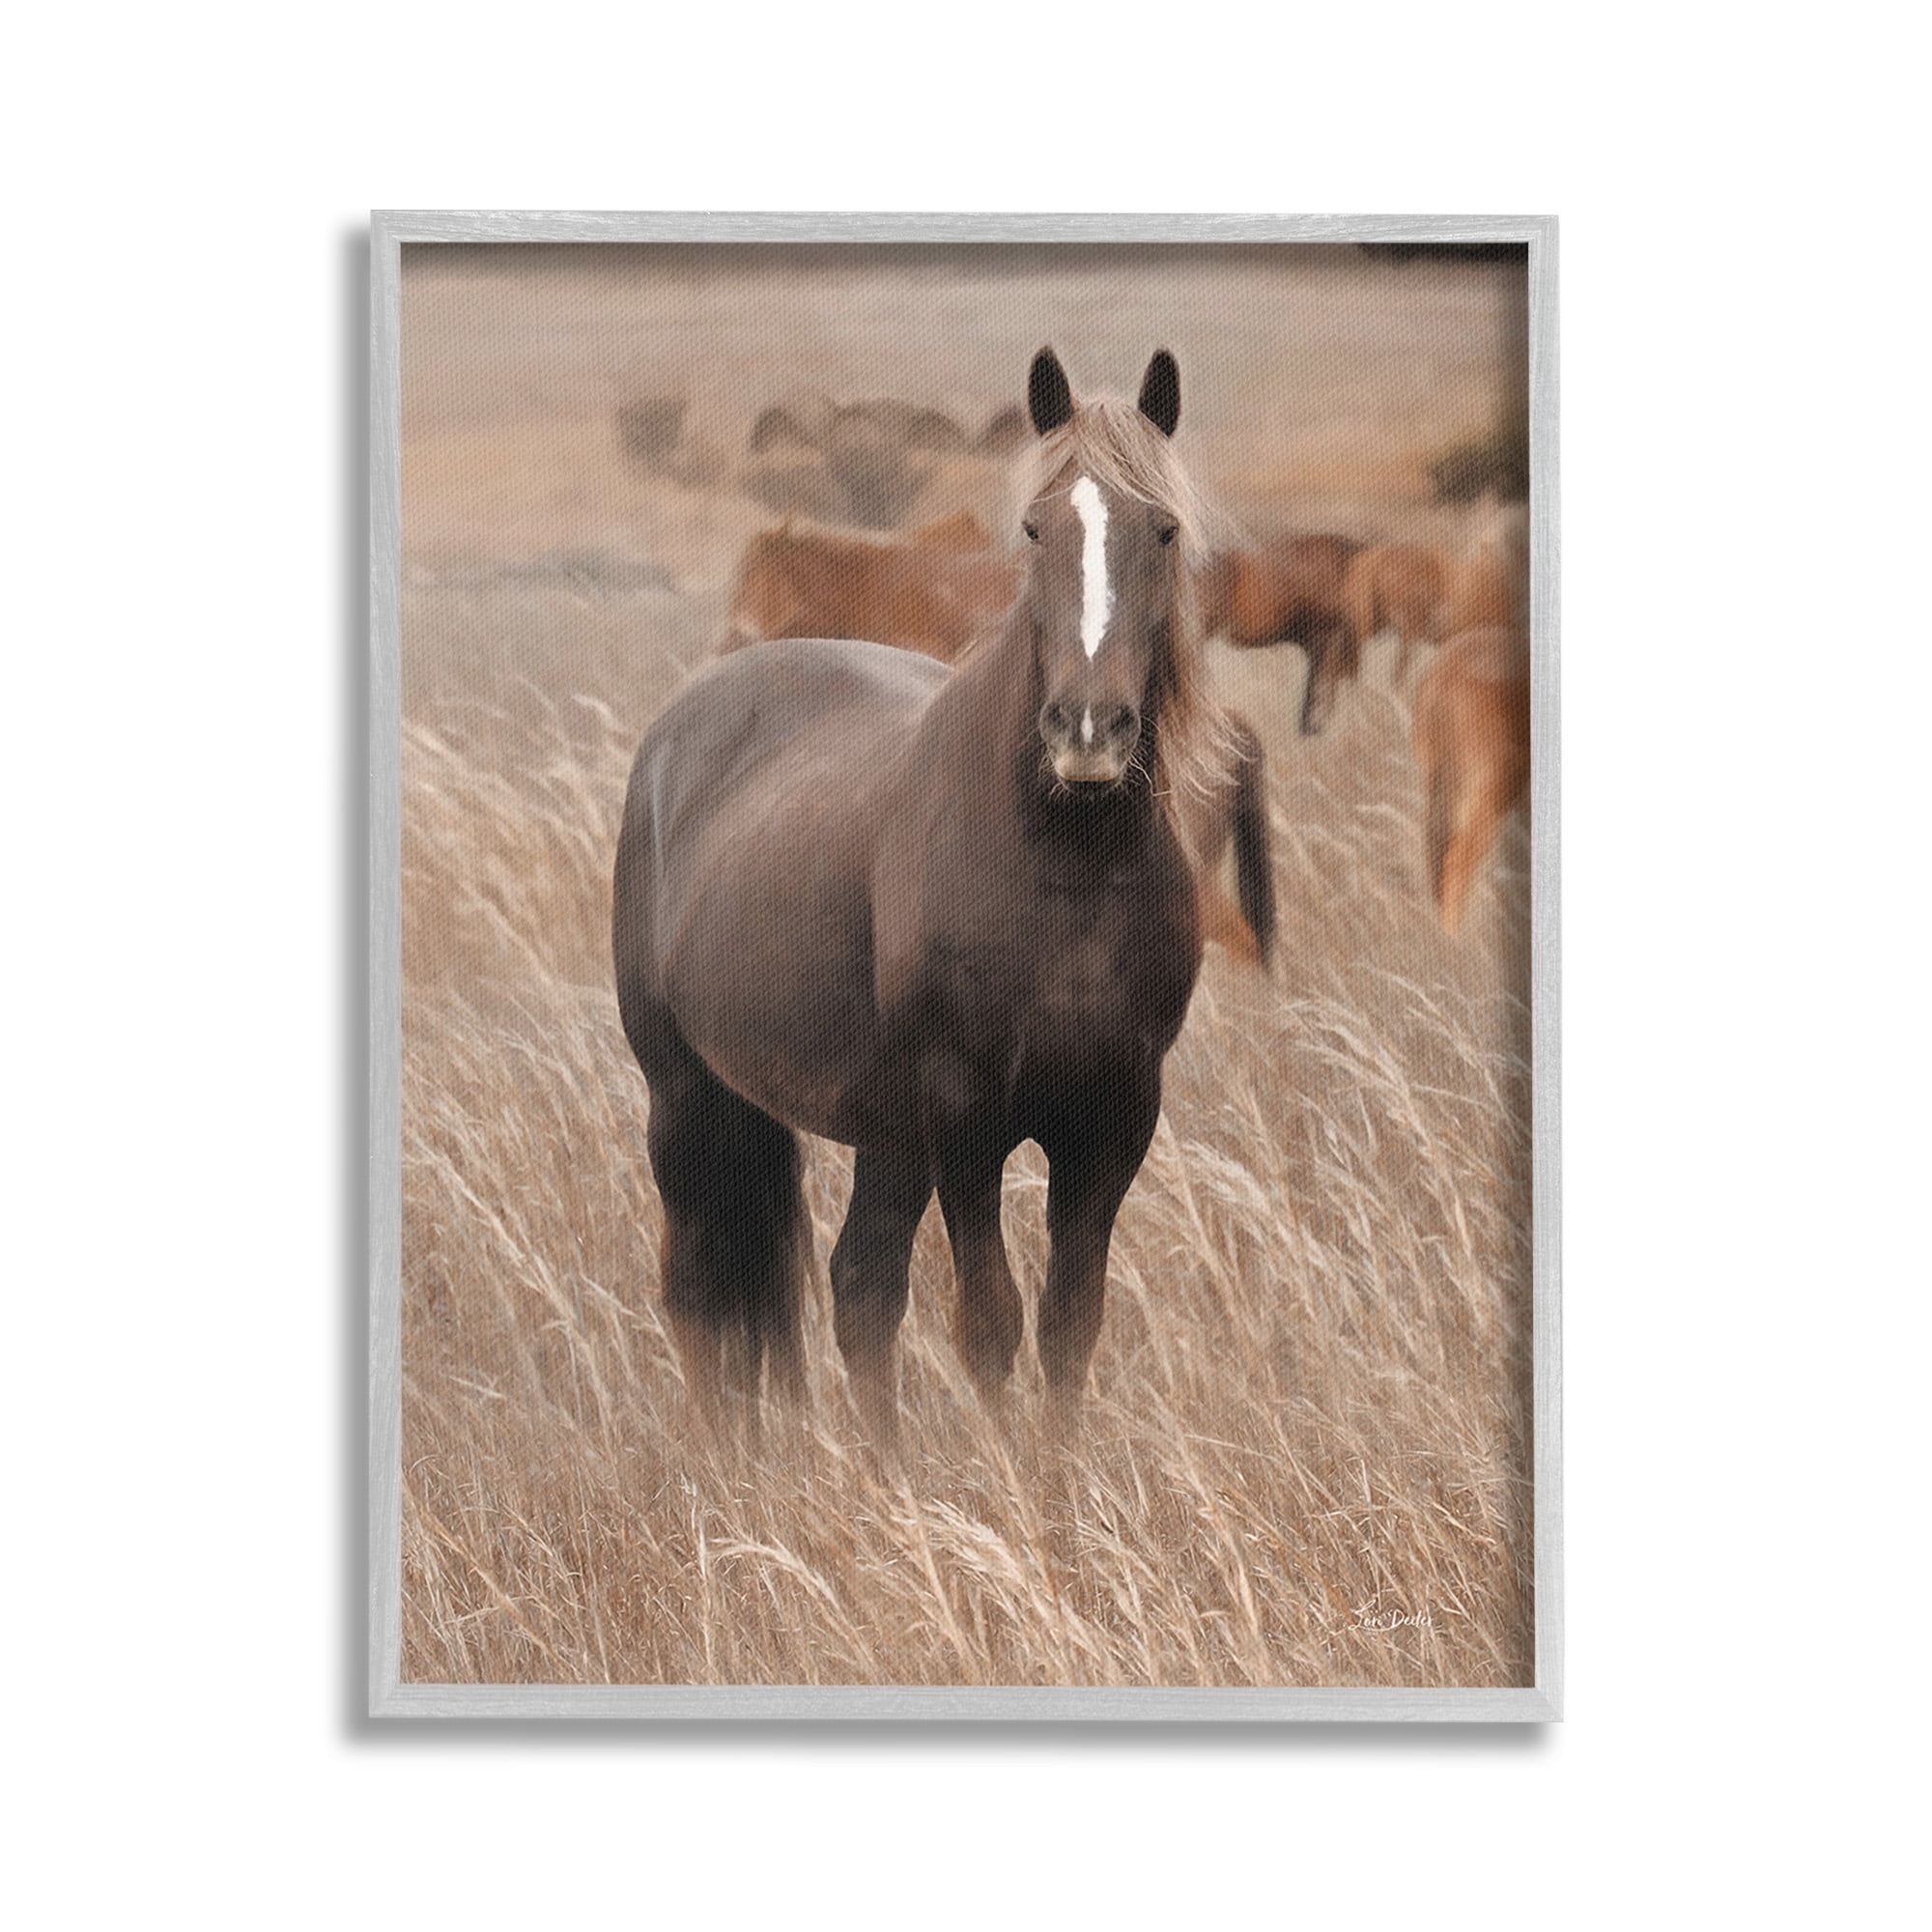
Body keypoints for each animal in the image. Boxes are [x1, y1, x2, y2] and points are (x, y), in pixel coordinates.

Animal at [614, 347, 1237, 1444]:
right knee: (697, 1291)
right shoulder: (964, 1124)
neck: (1062, 871)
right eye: (1034, 528)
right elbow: (989, 1323)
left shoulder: (1112, 1120)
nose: (1088, 731)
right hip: (685, 1094)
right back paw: (729, 1468)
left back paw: (878, 1469)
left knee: (856, 1289)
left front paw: (1057, 1487)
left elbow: (1068, 1325)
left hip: (880, 1134)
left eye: (1161, 529)